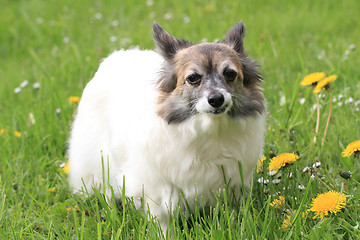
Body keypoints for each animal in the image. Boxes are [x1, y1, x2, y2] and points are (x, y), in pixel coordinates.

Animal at [68, 20, 264, 232]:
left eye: (230, 74)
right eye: (193, 78)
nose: (216, 99)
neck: (210, 130)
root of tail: (116, 56)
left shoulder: (231, 183)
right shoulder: (157, 187)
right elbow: (162, 217)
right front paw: (165, 233)